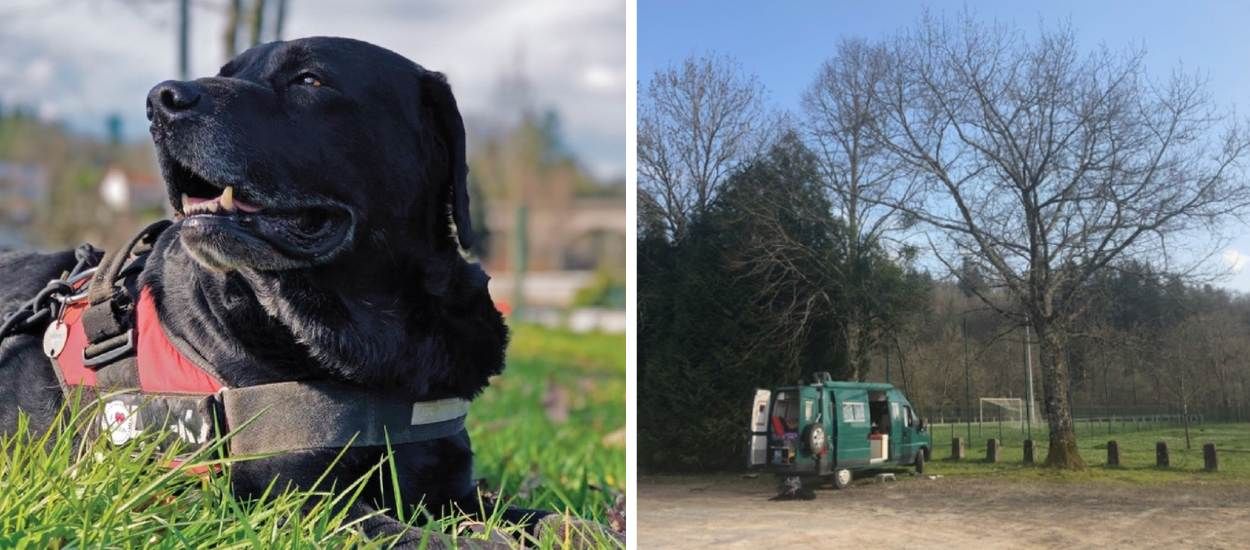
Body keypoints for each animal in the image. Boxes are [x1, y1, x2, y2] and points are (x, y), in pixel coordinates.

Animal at [0, 37, 547, 545]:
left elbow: (538, 517)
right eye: (227, 73)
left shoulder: (450, 486)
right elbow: (430, 538)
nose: (160, 99)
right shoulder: (293, 500)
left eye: (309, 80)